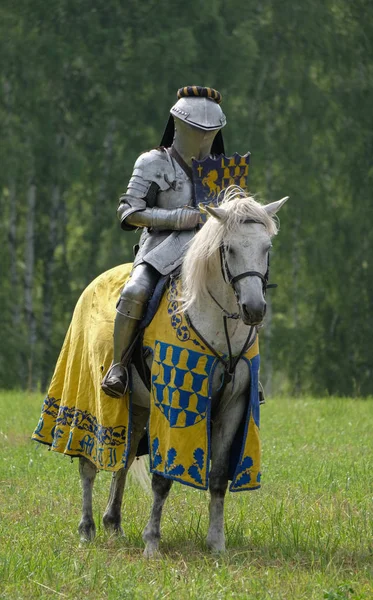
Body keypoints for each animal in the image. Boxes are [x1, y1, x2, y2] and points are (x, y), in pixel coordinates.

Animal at [78, 188, 288, 552]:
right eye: (229, 248)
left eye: (266, 248)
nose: (254, 309)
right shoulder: (176, 403)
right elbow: (162, 480)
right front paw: (152, 542)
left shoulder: (234, 406)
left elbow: (217, 477)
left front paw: (216, 543)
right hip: (93, 397)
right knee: (88, 463)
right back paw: (87, 527)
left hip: (137, 406)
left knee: (125, 456)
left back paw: (113, 523)